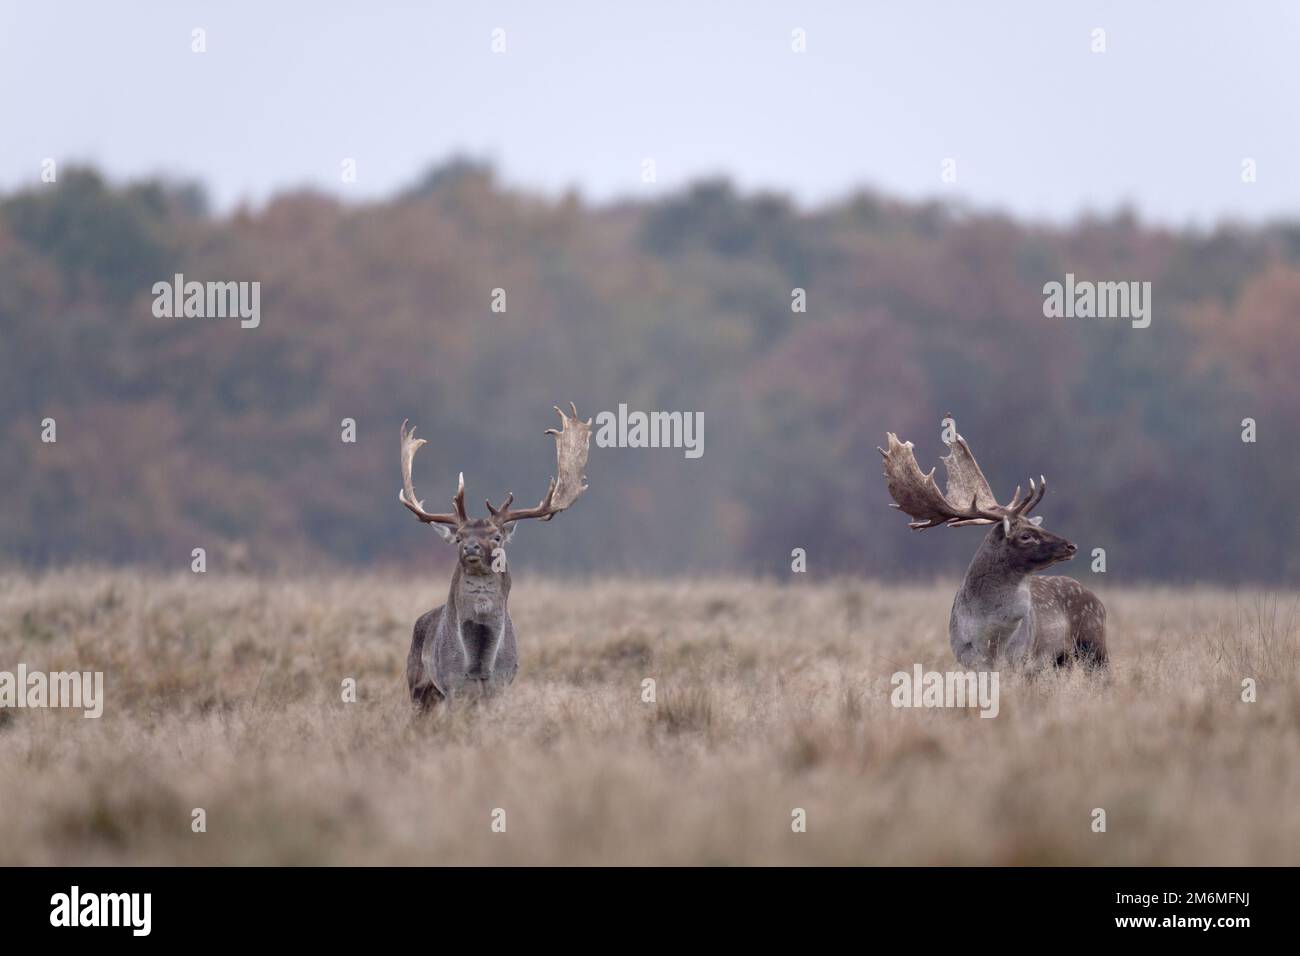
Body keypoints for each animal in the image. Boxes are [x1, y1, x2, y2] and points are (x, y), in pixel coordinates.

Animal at [400, 400, 595, 707]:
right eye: (458, 537)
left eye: (497, 536)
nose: (471, 547)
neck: (479, 664)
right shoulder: (452, 686)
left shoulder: (500, 686)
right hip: (418, 685)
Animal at [873, 418, 1107, 671]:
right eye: (1025, 535)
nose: (1071, 546)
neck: (989, 640)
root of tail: (1099, 602)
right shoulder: (966, 659)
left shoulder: (1020, 658)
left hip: (1094, 647)